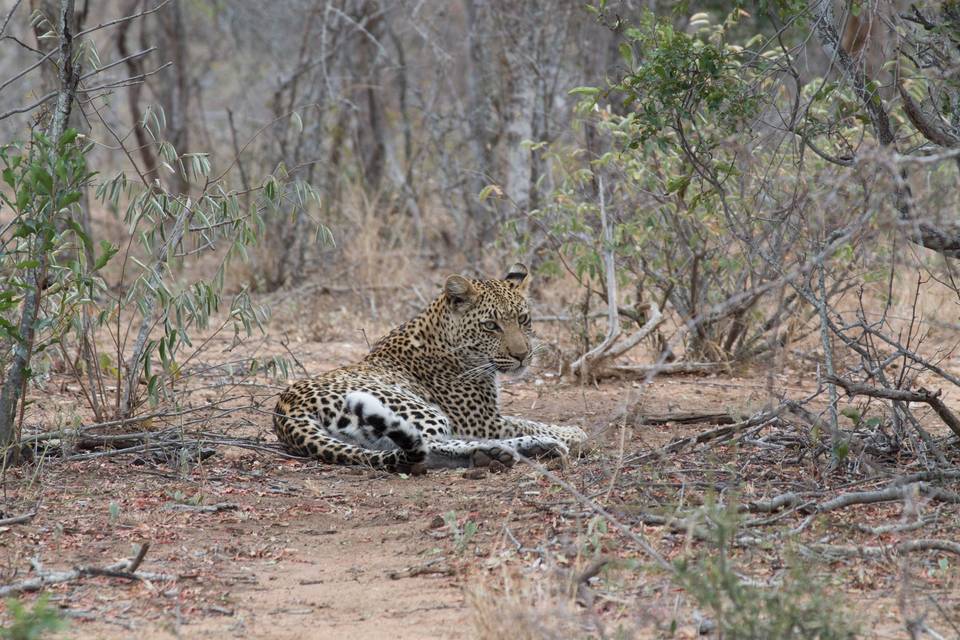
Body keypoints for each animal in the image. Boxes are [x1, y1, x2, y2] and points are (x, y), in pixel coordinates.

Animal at [272, 262, 588, 472]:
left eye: (523, 319)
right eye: (490, 325)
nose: (522, 355)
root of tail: (286, 412)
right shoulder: (483, 421)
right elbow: (526, 420)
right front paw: (573, 433)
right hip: (417, 409)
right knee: (429, 443)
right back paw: (514, 448)